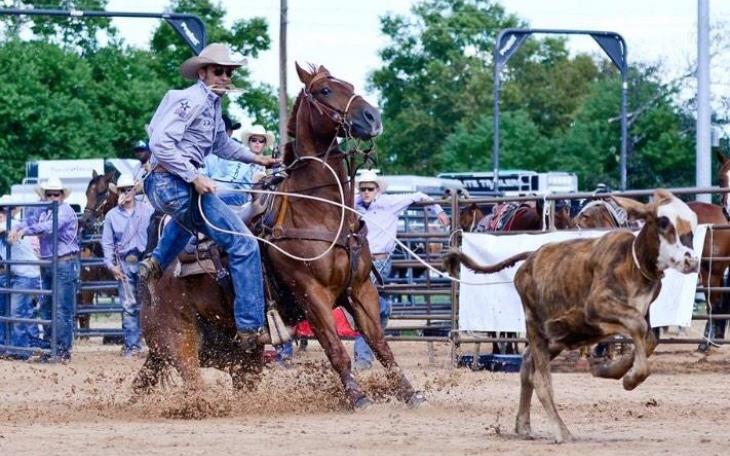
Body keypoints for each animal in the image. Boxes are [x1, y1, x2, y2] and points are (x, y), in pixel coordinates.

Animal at [443, 189, 699, 443]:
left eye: (693, 224)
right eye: (663, 221)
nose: (692, 261)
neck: (632, 262)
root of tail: (532, 257)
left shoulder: (642, 312)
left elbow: (649, 339)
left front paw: (611, 370)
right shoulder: (597, 306)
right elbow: (638, 328)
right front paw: (629, 378)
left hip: (557, 338)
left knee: (527, 366)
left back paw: (524, 425)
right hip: (535, 325)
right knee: (541, 379)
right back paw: (561, 431)